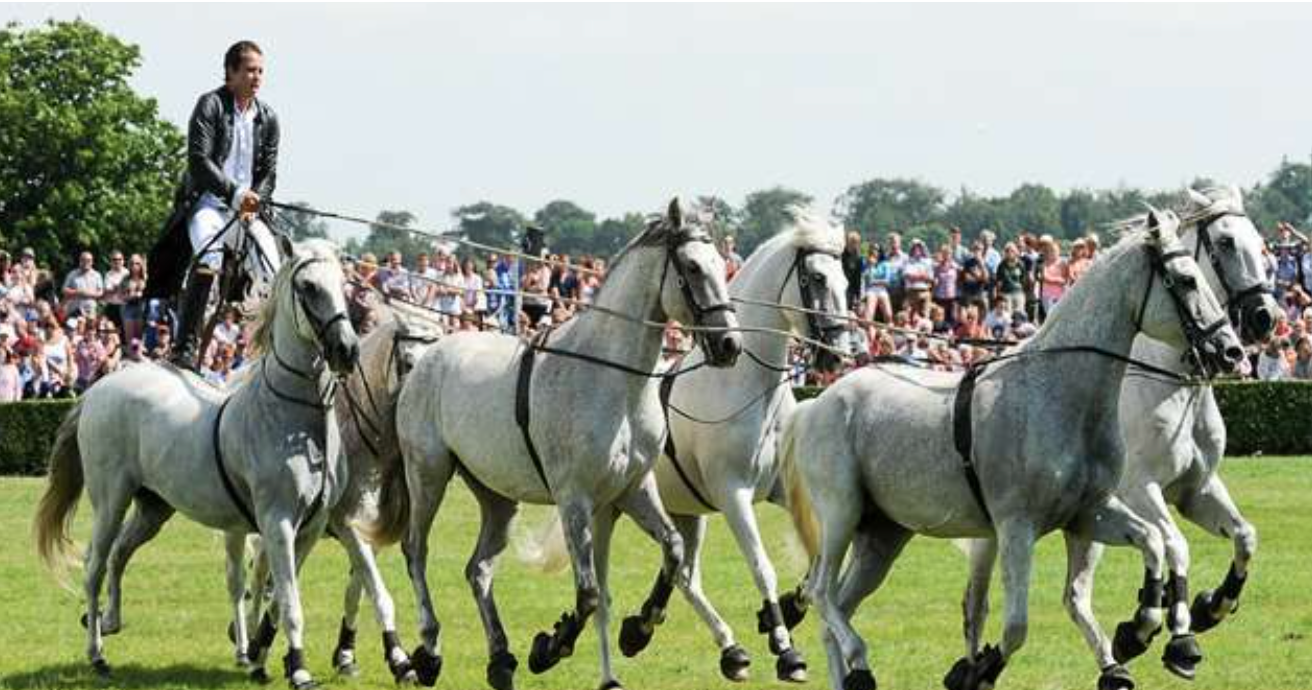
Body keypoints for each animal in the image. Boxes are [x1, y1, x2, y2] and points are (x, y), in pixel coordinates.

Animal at [34, 238, 359, 690]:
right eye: (308, 286)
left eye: (343, 284)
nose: (347, 350)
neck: (295, 419)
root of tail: (99, 388)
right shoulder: (277, 523)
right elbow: (289, 602)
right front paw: (297, 668)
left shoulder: (308, 529)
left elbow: (277, 600)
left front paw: (258, 658)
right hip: (111, 500)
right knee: (95, 564)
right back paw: (97, 654)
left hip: (153, 508)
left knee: (119, 555)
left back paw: (109, 621)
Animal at [369, 199, 745, 690]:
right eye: (694, 268)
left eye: (723, 265)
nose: (730, 345)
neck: (612, 380)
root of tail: (425, 358)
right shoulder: (575, 499)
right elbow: (588, 594)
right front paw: (550, 647)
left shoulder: (633, 489)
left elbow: (674, 551)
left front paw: (638, 630)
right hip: (428, 474)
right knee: (416, 551)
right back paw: (429, 653)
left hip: (496, 497)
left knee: (479, 569)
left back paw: (501, 659)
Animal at [603, 208, 850, 682]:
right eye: (815, 277)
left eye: (847, 280)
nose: (838, 354)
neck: (744, 385)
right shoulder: (733, 494)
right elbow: (762, 567)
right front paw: (786, 650)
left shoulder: (777, 490)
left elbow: (817, 564)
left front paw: (788, 610)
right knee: (684, 574)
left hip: (684, 510)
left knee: (683, 571)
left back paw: (679, 635)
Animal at [781, 211, 1243, 690]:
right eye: (1187, 280)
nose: (1231, 350)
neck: (1057, 392)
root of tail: (819, 401)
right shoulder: (1016, 527)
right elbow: (1016, 626)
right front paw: (977, 670)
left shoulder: (1087, 514)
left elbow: (1152, 541)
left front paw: (1140, 630)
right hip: (842, 514)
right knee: (820, 592)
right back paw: (860, 659)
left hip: (882, 535)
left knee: (837, 607)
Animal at [955, 184, 1280, 690]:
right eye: (1226, 242)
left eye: (1262, 244)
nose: (1265, 318)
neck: (1171, 383)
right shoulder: (1140, 488)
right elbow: (1176, 546)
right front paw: (1176, 636)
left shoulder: (1196, 490)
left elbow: (1244, 537)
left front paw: (1209, 607)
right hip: (1000, 528)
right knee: (979, 601)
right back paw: (976, 666)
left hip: (1082, 526)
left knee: (1074, 597)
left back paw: (1113, 664)